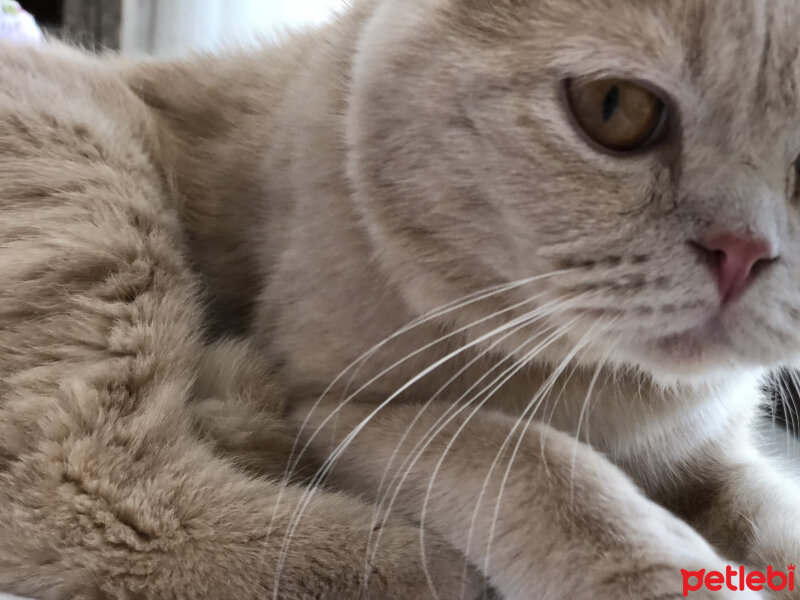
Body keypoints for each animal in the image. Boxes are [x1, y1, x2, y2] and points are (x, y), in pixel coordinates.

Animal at [1, 0, 800, 596]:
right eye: (614, 107)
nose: (743, 251)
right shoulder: (343, 405)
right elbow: (534, 459)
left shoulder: (712, 454)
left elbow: (773, 512)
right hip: (94, 197)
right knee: (71, 487)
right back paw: (411, 563)